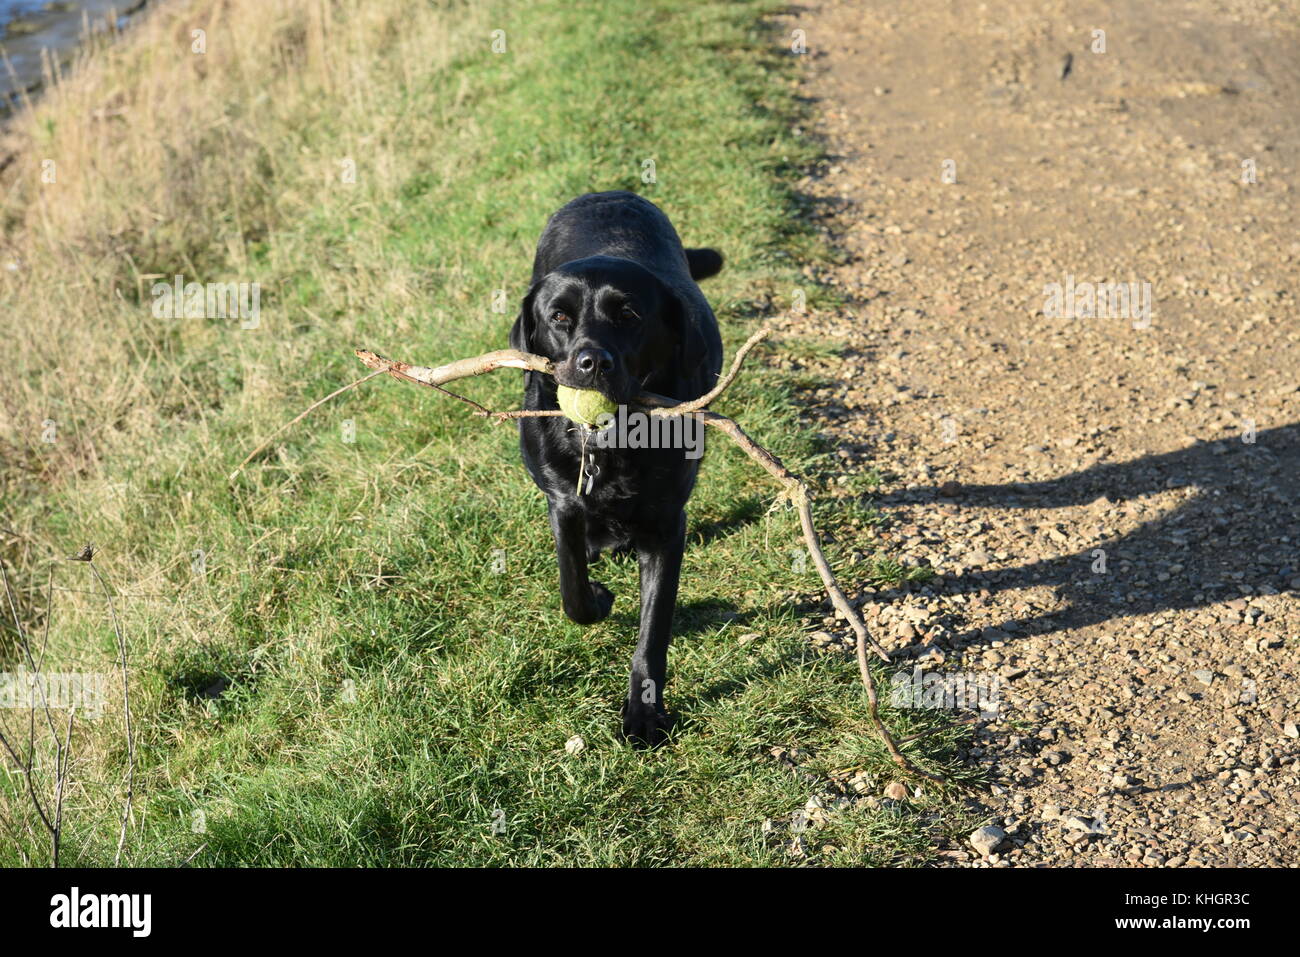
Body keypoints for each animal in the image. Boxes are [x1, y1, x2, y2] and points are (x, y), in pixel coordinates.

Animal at [512, 191, 728, 748]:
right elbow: (572, 590)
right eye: (559, 316)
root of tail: (610, 193)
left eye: (628, 313)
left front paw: (644, 714)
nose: (592, 362)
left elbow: (654, 630)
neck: (611, 442)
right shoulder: (562, 503)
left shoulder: (666, 526)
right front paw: (598, 596)